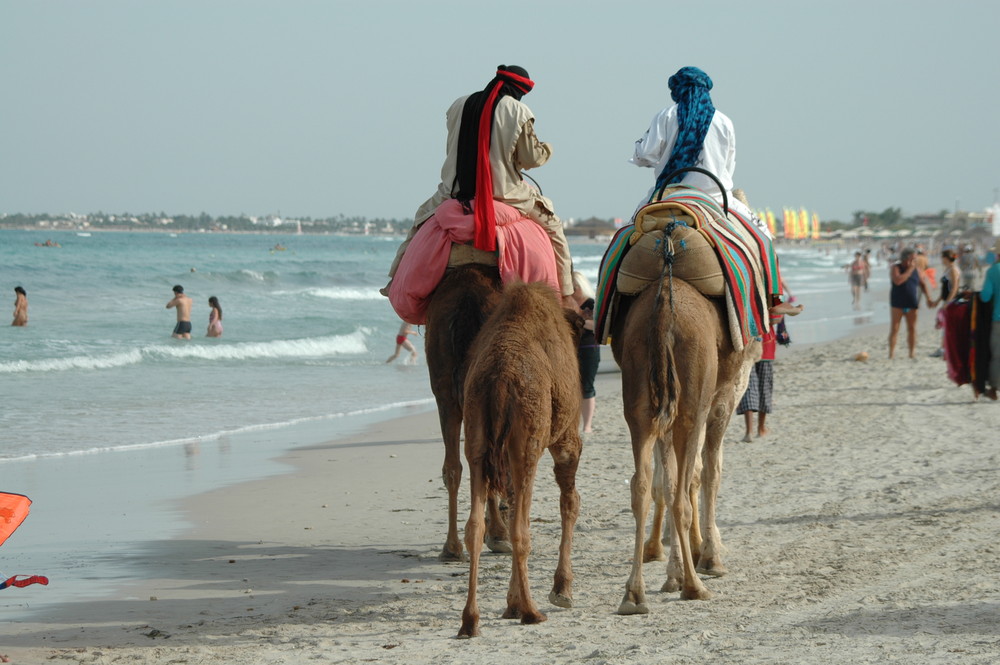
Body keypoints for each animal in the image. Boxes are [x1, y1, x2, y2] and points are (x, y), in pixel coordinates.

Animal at [458, 282, 584, 636]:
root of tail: (499, 380)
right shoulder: (566, 436)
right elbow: (570, 502)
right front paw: (561, 590)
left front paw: (510, 604)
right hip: (528, 438)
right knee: (521, 529)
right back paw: (531, 610)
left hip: (477, 436)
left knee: (475, 526)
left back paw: (470, 620)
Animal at [608, 274, 756, 612]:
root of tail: (664, 312)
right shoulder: (724, 397)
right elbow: (710, 472)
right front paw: (710, 557)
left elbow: (671, 480)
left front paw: (675, 564)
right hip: (691, 399)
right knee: (682, 496)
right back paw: (693, 585)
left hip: (641, 396)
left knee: (642, 486)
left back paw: (634, 594)